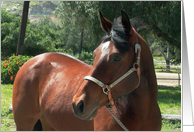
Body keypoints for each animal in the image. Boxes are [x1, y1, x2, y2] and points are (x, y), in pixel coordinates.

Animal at [12, 10, 162, 130]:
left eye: (117, 58)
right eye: (94, 53)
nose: (77, 104)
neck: (142, 115)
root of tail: (32, 60)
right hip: (24, 124)